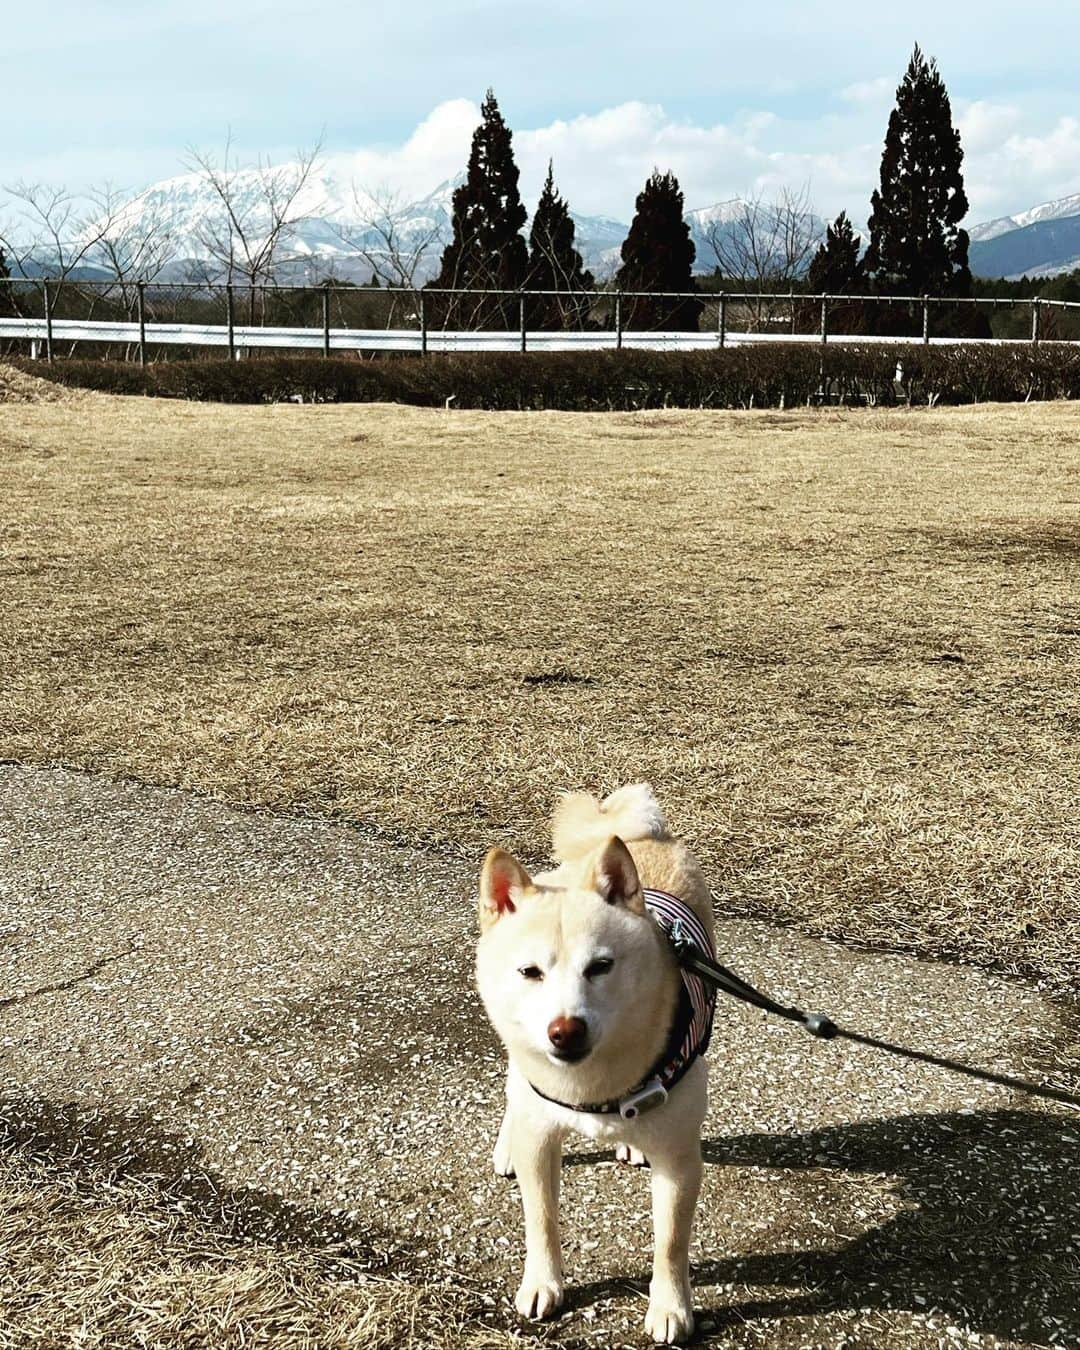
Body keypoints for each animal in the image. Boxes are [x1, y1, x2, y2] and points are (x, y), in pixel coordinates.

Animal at [477, 788, 718, 1344]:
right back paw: (507, 1145)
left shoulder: (680, 1161)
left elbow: (670, 1243)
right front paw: (543, 1283)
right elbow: (541, 1220)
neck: (589, 1087)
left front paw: (670, 1307)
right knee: (514, 1095)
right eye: (530, 972)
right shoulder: (541, 1140)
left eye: (601, 967)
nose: (565, 1030)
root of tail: (631, 834)